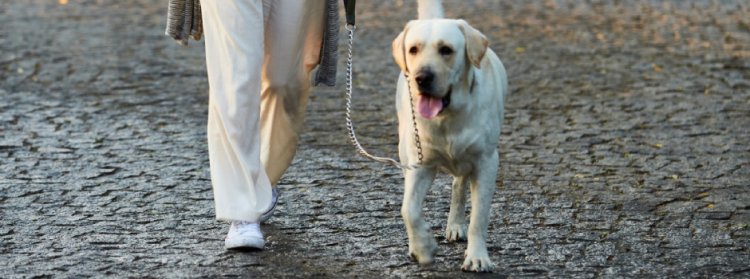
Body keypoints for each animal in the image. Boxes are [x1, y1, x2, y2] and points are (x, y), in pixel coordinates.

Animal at [394, 1, 512, 274]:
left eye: (446, 50)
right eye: (413, 49)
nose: (422, 78)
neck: (447, 117)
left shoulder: (486, 163)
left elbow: (479, 217)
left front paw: (477, 256)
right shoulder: (420, 165)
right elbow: (409, 209)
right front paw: (423, 247)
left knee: (459, 185)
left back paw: (457, 224)